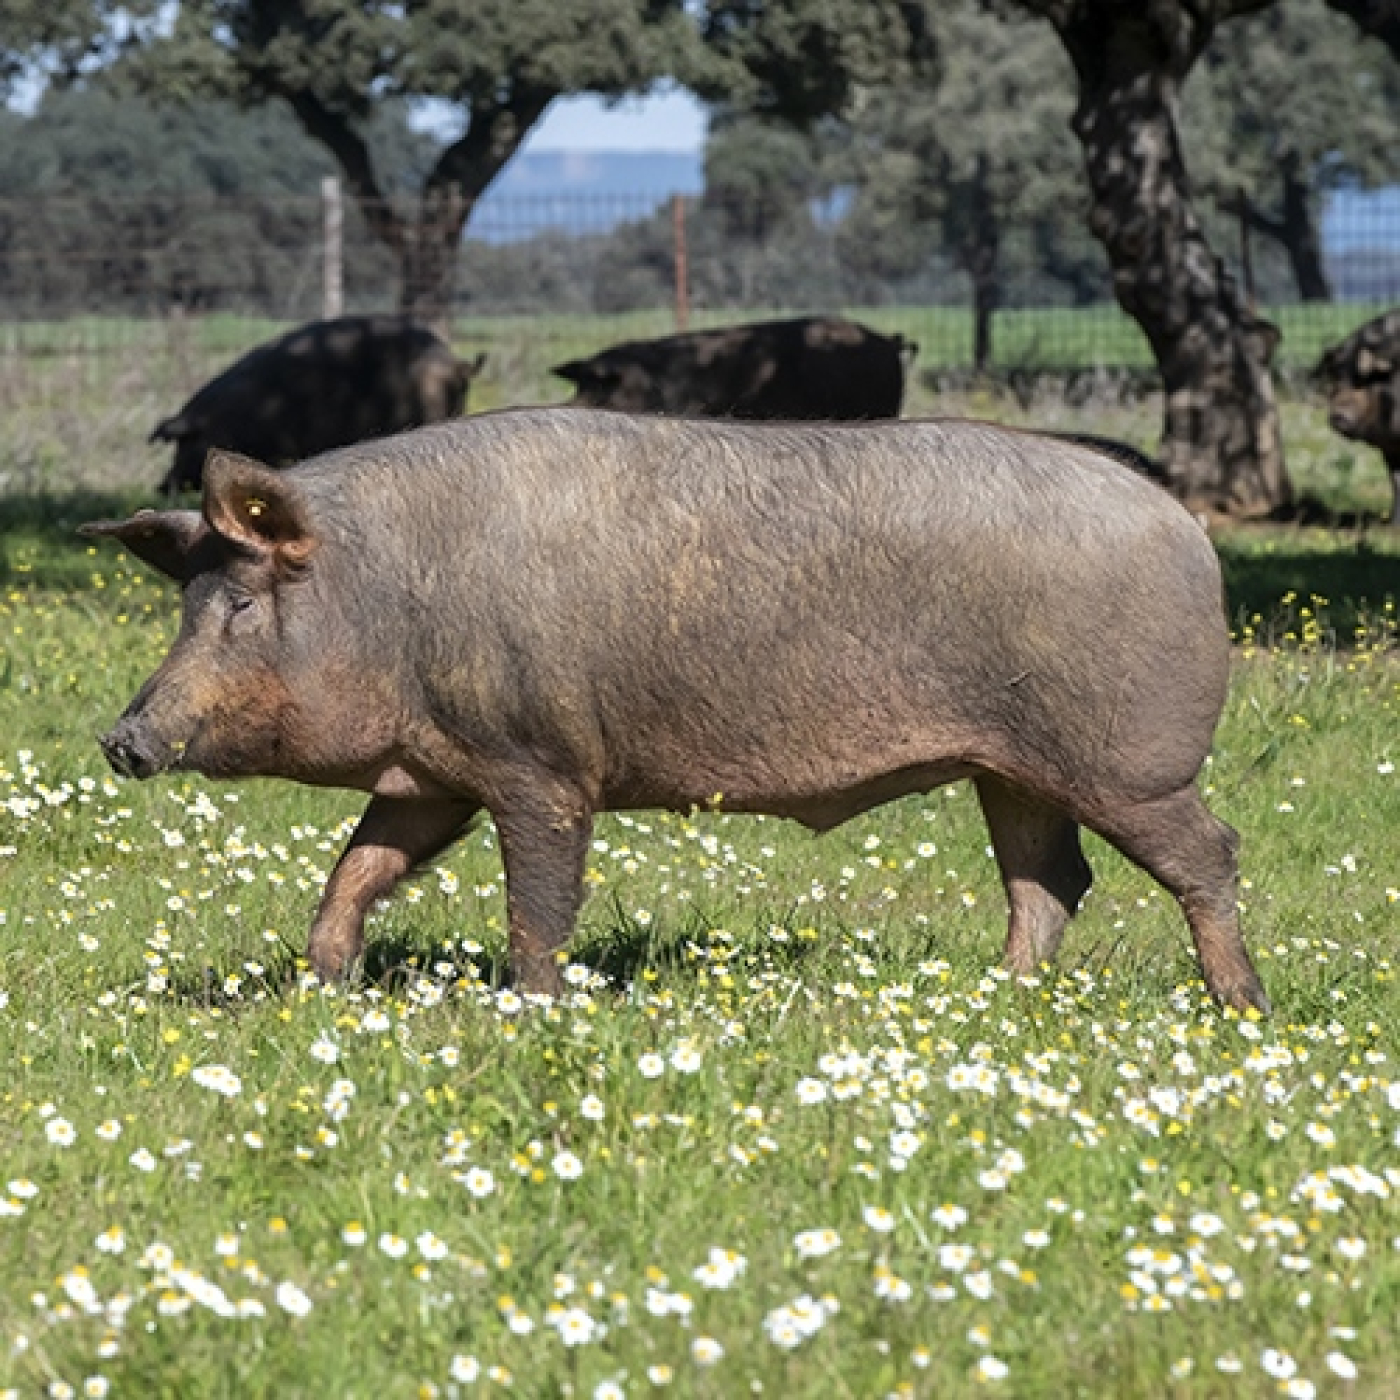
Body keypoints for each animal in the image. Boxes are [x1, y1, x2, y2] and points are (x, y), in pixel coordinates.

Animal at [83, 409, 1269, 1014]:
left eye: (241, 604)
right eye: (186, 602)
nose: (121, 738)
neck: (395, 597)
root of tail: (1187, 529)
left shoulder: (541, 763)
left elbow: (539, 902)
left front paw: (534, 1009)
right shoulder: (433, 774)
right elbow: (358, 869)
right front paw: (320, 984)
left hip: (1128, 761)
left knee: (1207, 850)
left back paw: (1238, 1004)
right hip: (1012, 766)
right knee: (1050, 879)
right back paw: (994, 995)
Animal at [1314, 308, 1400, 524]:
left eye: (1367, 379)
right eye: (1337, 378)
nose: (1339, 414)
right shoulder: (1388, 447)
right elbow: (1396, 481)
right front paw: (1393, 525)